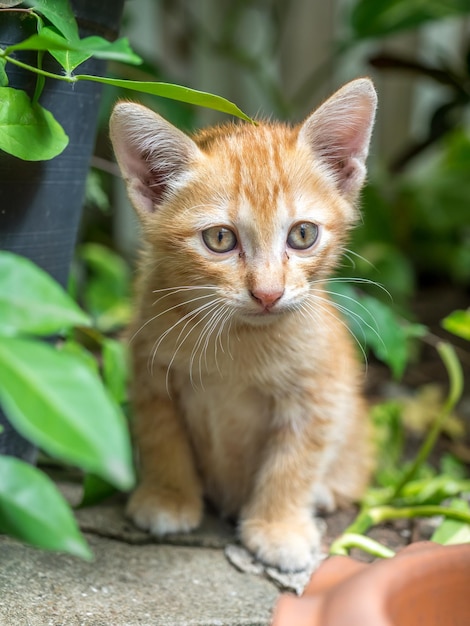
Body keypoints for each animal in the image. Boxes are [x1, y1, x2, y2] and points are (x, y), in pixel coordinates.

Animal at [110, 78, 378, 572]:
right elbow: (161, 437)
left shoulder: (320, 391)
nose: (268, 293)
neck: (237, 341)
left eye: (303, 234)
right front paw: (168, 497)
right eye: (220, 239)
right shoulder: (150, 372)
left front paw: (279, 528)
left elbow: (294, 461)